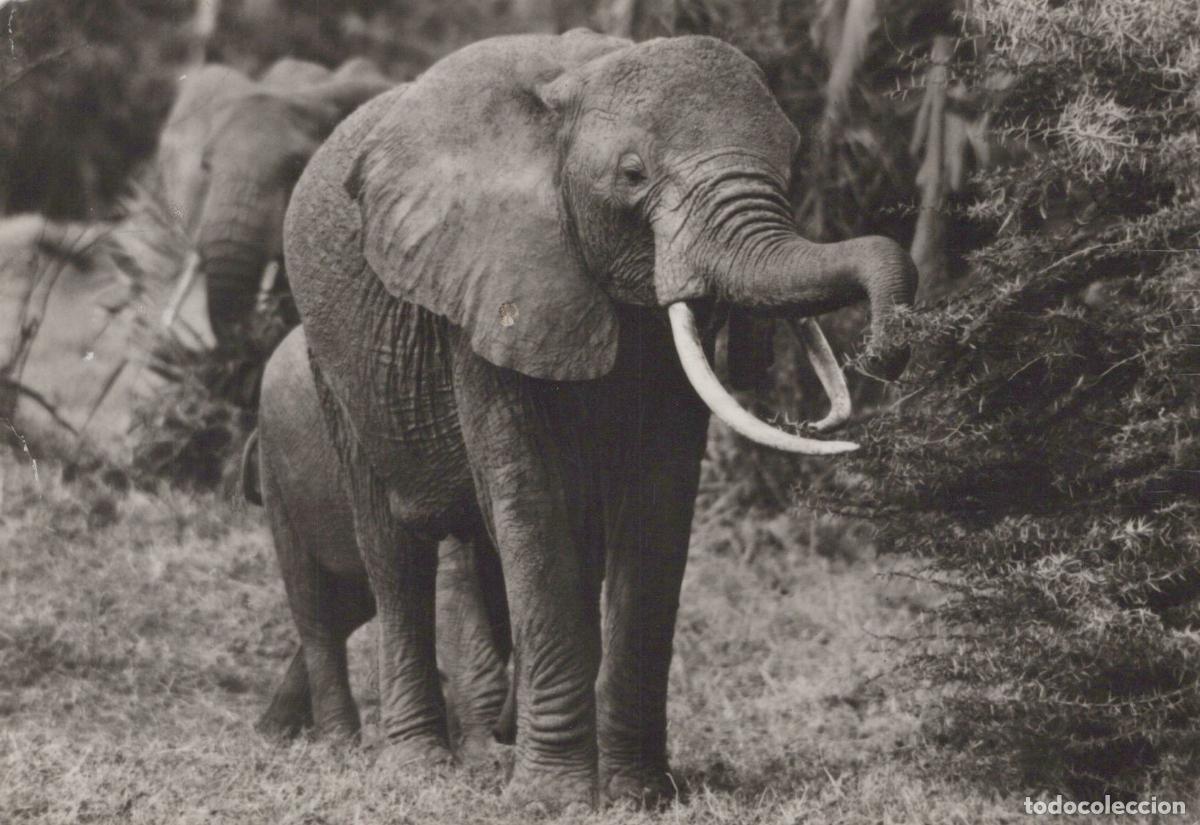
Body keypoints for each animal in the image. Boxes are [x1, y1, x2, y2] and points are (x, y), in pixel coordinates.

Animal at [243, 326, 513, 755]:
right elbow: (457, 586)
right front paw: (485, 753)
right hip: (279, 474)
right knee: (314, 601)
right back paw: (336, 743)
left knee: (353, 605)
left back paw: (272, 731)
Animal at [284, 30, 916, 810]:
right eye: (632, 174)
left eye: (791, 158)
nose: (886, 349)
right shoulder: (489, 282)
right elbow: (529, 501)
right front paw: (550, 801)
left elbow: (657, 509)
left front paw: (639, 794)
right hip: (331, 357)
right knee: (395, 552)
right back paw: (422, 768)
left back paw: (492, 749)